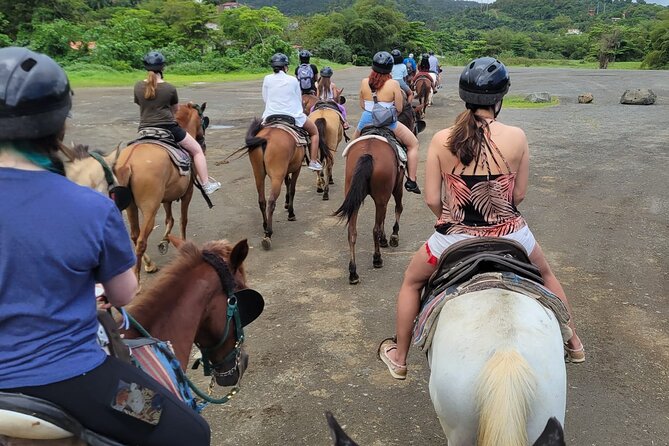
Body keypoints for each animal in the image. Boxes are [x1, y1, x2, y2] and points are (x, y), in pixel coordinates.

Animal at [113, 103, 209, 280]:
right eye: (202, 121)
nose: (202, 145)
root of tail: (128, 163)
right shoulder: (188, 193)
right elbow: (183, 220)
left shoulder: (166, 197)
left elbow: (169, 219)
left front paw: (165, 241)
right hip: (150, 208)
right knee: (141, 241)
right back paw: (138, 278)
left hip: (131, 207)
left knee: (134, 236)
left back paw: (149, 264)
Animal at [332, 136, 402, 284]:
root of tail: (368, 154)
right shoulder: (397, 186)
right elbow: (398, 208)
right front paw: (393, 236)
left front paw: (385, 239)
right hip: (382, 196)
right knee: (375, 229)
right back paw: (377, 259)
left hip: (354, 197)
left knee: (352, 232)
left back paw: (353, 272)